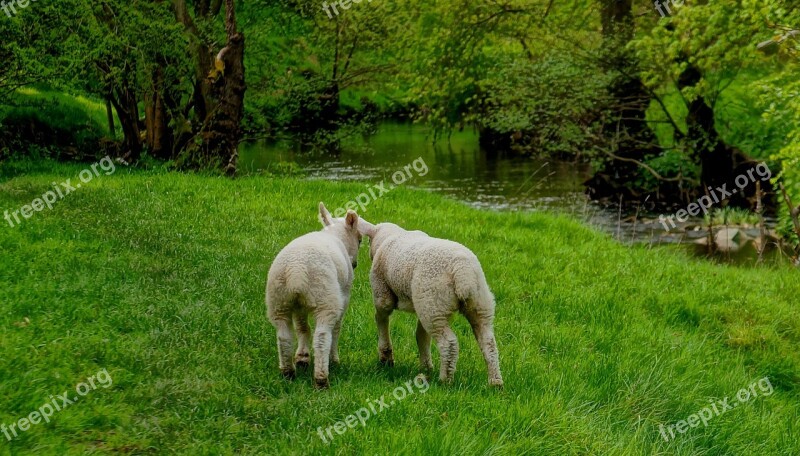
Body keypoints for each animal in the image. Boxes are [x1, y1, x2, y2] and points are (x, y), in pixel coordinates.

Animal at [266, 203, 362, 388]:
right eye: (360, 240)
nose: (355, 264)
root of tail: (296, 271)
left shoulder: (299, 306)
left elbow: (302, 328)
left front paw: (302, 358)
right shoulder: (344, 296)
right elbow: (337, 328)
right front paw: (334, 359)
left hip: (279, 300)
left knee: (284, 336)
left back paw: (288, 373)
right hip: (326, 298)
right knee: (322, 337)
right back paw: (322, 379)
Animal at [358, 219, 504, 386]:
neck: (388, 237)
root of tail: (463, 271)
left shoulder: (382, 291)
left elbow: (381, 318)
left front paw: (386, 358)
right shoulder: (421, 303)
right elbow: (421, 335)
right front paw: (426, 367)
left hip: (434, 302)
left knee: (449, 343)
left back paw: (445, 381)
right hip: (474, 303)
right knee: (488, 342)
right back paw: (495, 382)